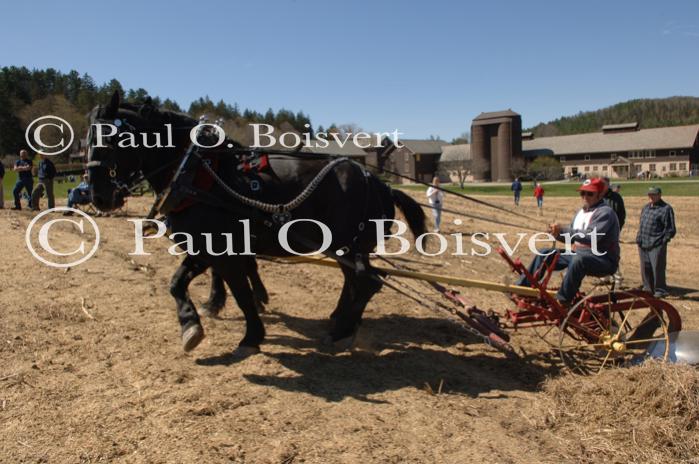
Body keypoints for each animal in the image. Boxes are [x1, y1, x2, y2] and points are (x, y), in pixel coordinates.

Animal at [87, 92, 426, 358]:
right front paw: (192, 324)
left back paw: (341, 331)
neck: (197, 172)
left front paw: (250, 335)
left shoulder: (222, 249)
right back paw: (341, 321)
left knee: (368, 283)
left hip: (348, 246)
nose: (98, 196)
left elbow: (240, 291)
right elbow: (177, 283)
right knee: (354, 282)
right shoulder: (204, 246)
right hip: (344, 247)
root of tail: (380, 184)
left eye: (112, 139)